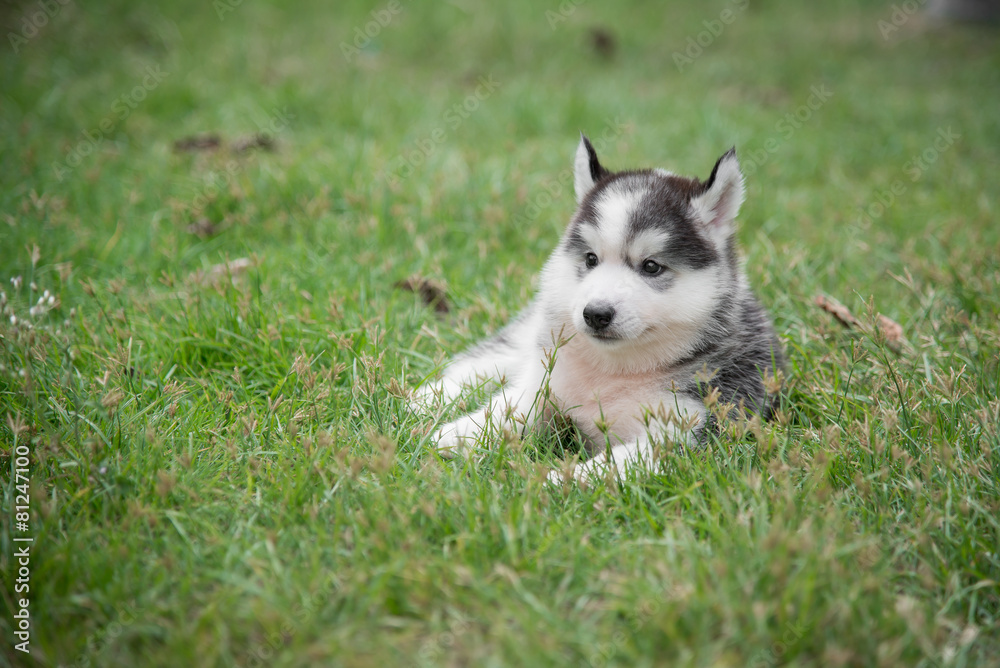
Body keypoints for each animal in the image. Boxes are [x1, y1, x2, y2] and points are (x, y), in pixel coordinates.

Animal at [412, 136, 780, 482]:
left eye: (651, 266)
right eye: (591, 259)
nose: (595, 314)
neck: (613, 371)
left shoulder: (685, 432)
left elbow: (609, 467)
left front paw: (556, 483)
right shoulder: (544, 383)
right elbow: (508, 407)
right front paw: (456, 435)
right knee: (482, 364)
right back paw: (424, 399)